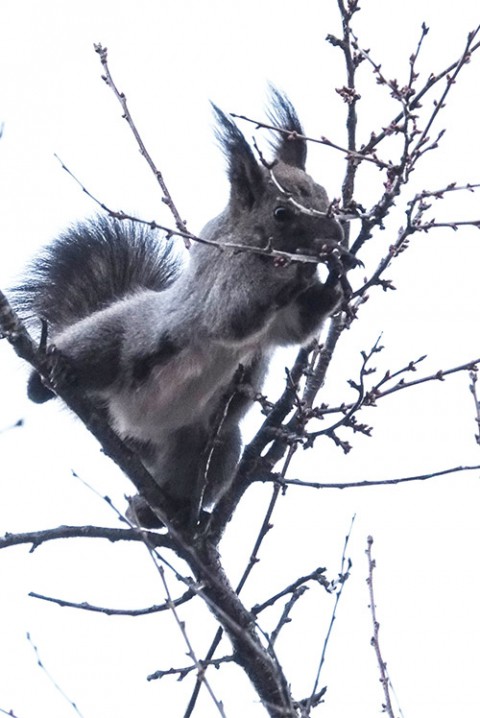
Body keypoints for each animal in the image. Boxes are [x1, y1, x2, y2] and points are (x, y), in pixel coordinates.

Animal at [15, 90, 354, 528]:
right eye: (281, 213)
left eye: (326, 196)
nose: (337, 234)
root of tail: (129, 424)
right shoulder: (216, 284)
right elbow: (233, 316)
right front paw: (302, 269)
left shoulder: (285, 321)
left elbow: (299, 326)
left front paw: (336, 277)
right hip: (116, 337)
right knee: (82, 351)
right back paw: (48, 374)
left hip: (210, 445)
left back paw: (156, 511)